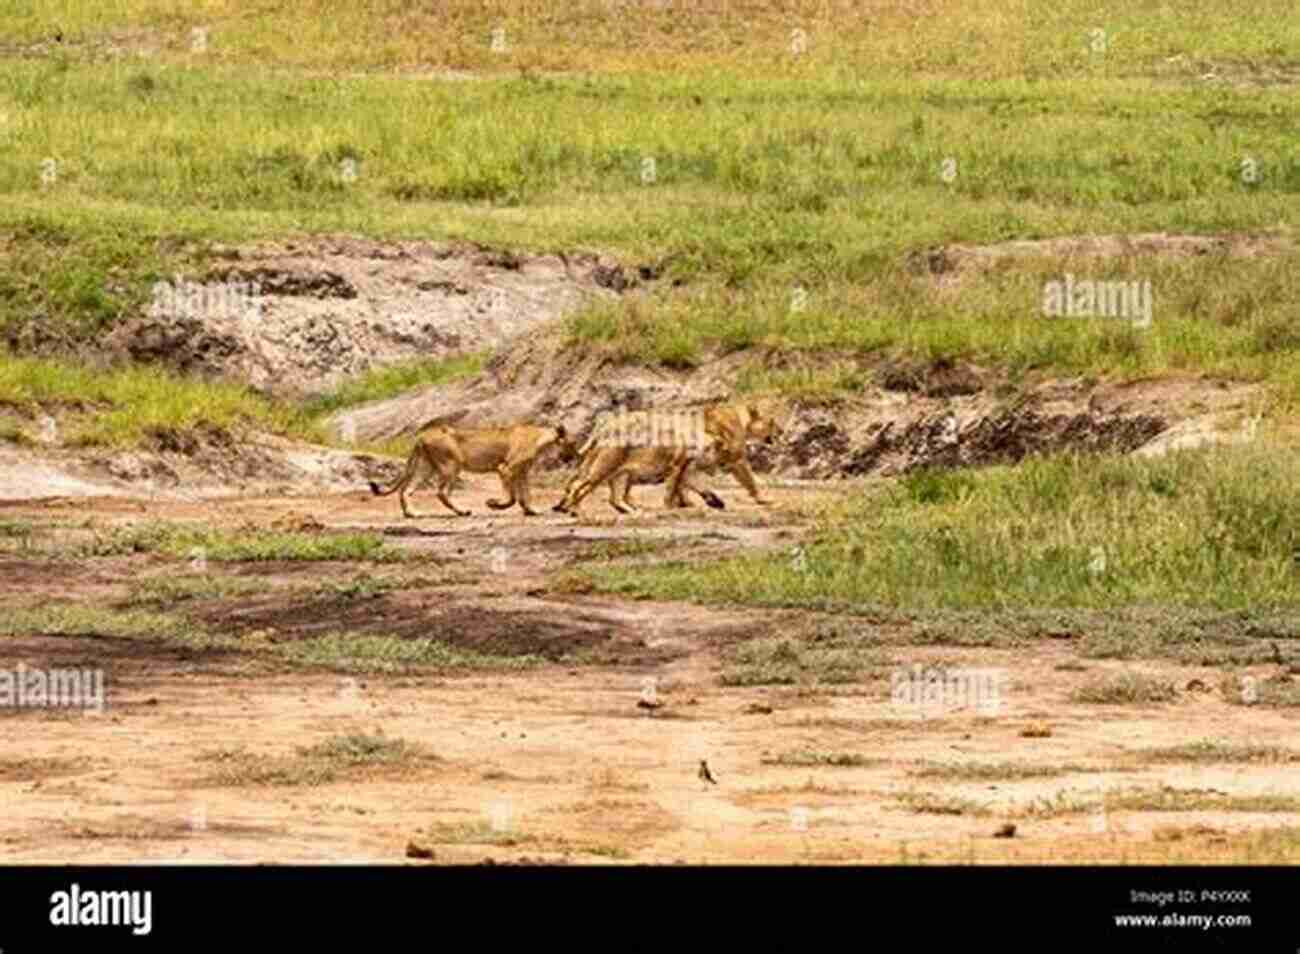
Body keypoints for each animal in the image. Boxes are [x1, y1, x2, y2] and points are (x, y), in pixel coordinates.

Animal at [364, 421, 572, 519]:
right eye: (572, 443)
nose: (571, 458)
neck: (541, 438)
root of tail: (422, 435)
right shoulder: (505, 468)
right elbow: (512, 497)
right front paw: (494, 504)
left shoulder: (522, 472)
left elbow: (525, 495)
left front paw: (532, 511)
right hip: (451, 465)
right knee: (441, 492)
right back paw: (462, 511)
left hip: (426, 467)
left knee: (406, 490)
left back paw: (412, 514)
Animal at [551, 400, 780, 514]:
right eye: (772, 422)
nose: (782, 432)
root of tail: (604, 427)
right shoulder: (735, 460)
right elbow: (750, 480)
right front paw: (764, 499)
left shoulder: (688, 465)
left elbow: (689, 485)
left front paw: (707, 501)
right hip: (606, 466)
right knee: (582, 485)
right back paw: (573, 508)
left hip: (617, 470)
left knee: (608, 494)